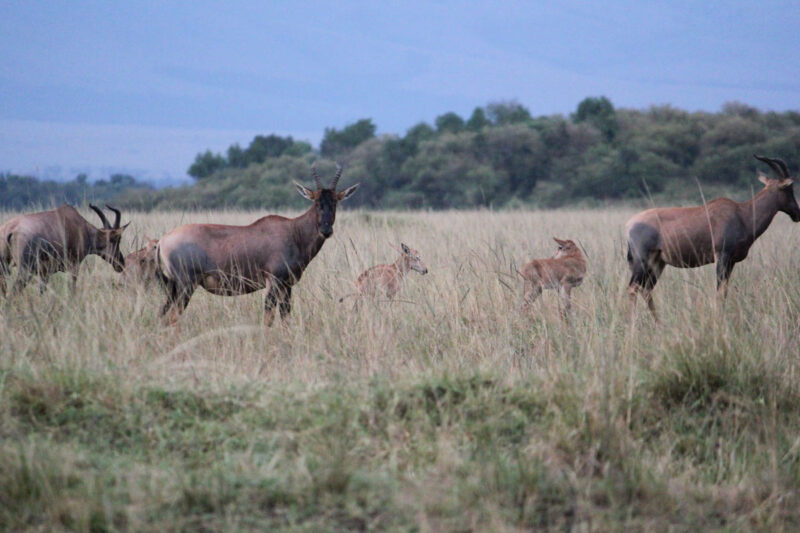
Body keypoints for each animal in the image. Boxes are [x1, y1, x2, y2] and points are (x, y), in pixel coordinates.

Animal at [0, 205, 130, 296]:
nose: (121, 264)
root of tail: (10, 228)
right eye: (117, 239)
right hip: (25, 271)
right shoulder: (74, 266)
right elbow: (72, 287)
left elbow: (41, 291)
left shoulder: (44, 274)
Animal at [156, 164, 356, 326]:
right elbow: (268, 318)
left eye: (335, 202)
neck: (293, 231)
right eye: (316, 202)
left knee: (162, 316)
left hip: (174, 288)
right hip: (186, 286)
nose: (326, 230)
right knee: (171, 317)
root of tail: (162, 241)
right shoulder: (273, 282)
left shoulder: (287, 286)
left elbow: (286, 318)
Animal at [624, 154, 800, 320]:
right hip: (642, 261)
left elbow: (725, 291)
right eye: (789, 189)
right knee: (633, 288)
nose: (797, 214)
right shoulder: (722, 256)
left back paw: (658, 323)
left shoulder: (731, 261)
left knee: (646, 289)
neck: (741, 214)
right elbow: (720, 291)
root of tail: (630, 224)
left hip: (658, 263)